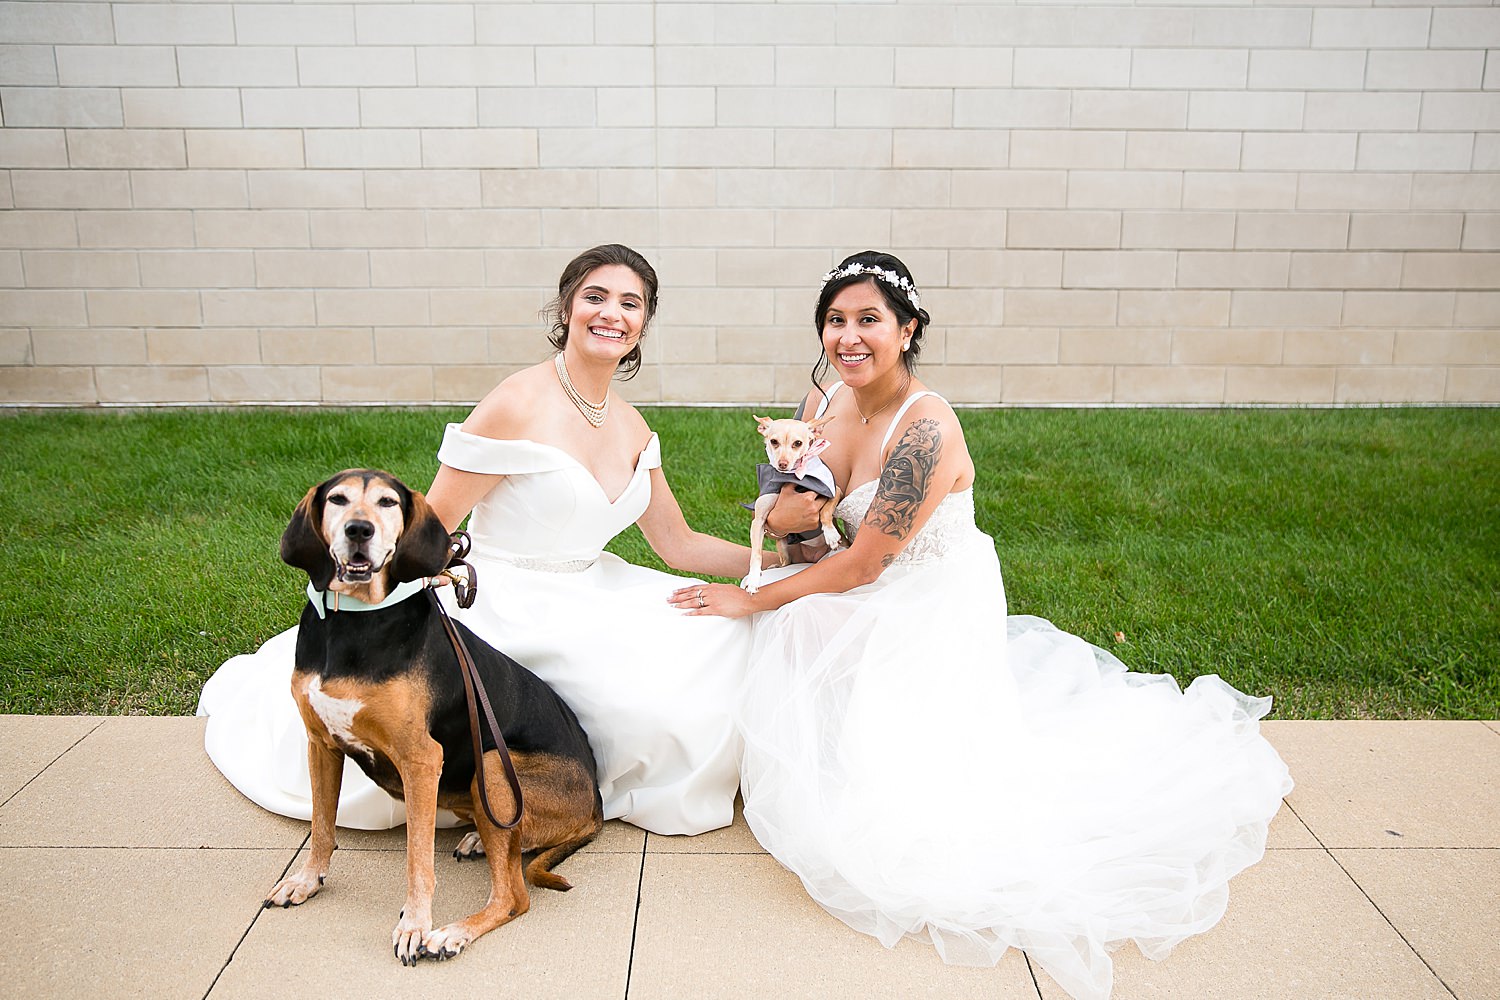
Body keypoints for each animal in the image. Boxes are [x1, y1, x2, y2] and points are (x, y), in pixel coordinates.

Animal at [267, 473, 600, 965]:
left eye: (387, 501)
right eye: (337, 499)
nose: (359, 530)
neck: (353, 624)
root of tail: (597, 804)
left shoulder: (421, 760)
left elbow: (417, 858)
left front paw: (415, 926)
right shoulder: (321, 744)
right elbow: (321, 828)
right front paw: (306, 881)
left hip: (494, 765)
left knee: (513, 897)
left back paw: (452, 933)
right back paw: (479, 840)